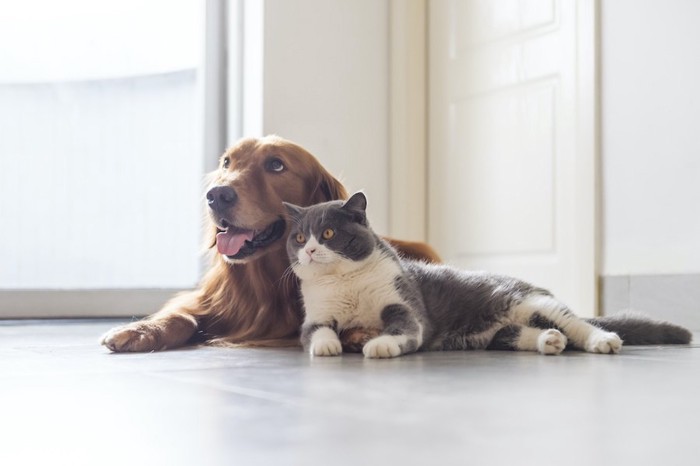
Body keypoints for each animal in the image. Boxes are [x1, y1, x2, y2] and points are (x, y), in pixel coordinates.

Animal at [101, 137, 440, 352]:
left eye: (276, 165)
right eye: (227, 162)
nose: (216, 195)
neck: (263, 284)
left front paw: (362, 332)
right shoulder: (207, 301)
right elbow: (181, 315)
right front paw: (139, 330)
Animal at [282, 191, 692, 358]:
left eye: (328, 234)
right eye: (299, 238)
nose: (310, 250)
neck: (344, 283)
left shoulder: (404, 304)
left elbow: (405, 328)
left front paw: (379, 345)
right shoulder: (315, 315)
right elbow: (315, 332)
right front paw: (328, 346)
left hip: (532, 301)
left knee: (577, 322)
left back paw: (602, 340)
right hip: (496, 332)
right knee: (517, 335)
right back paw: (549, 341)